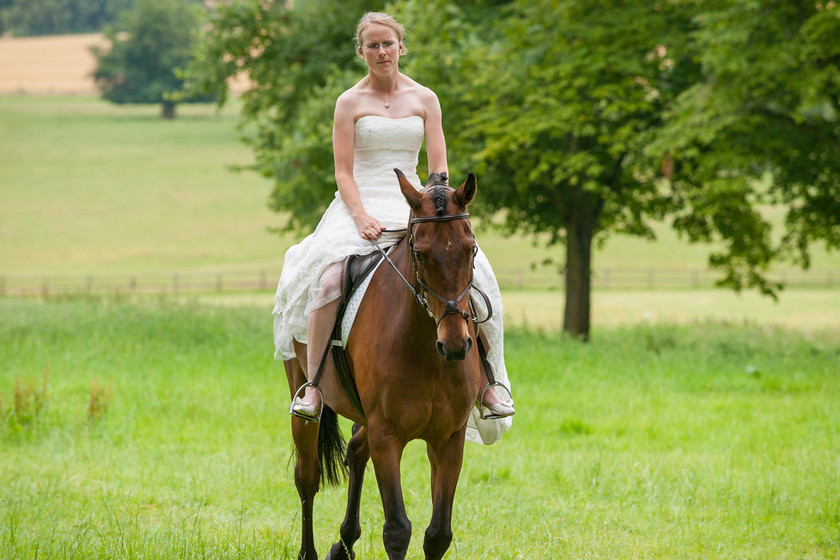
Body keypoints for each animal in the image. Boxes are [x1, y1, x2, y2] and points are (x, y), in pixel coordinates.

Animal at [286, 170, 486, 560]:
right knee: (308, 476)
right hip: (303, 393)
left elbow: (438, 533)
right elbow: (397, 529)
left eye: (471, 249)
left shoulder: (448, 438)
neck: (427, 353)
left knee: (355, 450)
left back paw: (343, 542)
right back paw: (311, 551)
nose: (455, 345)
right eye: (420, 255)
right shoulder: (386, 434)